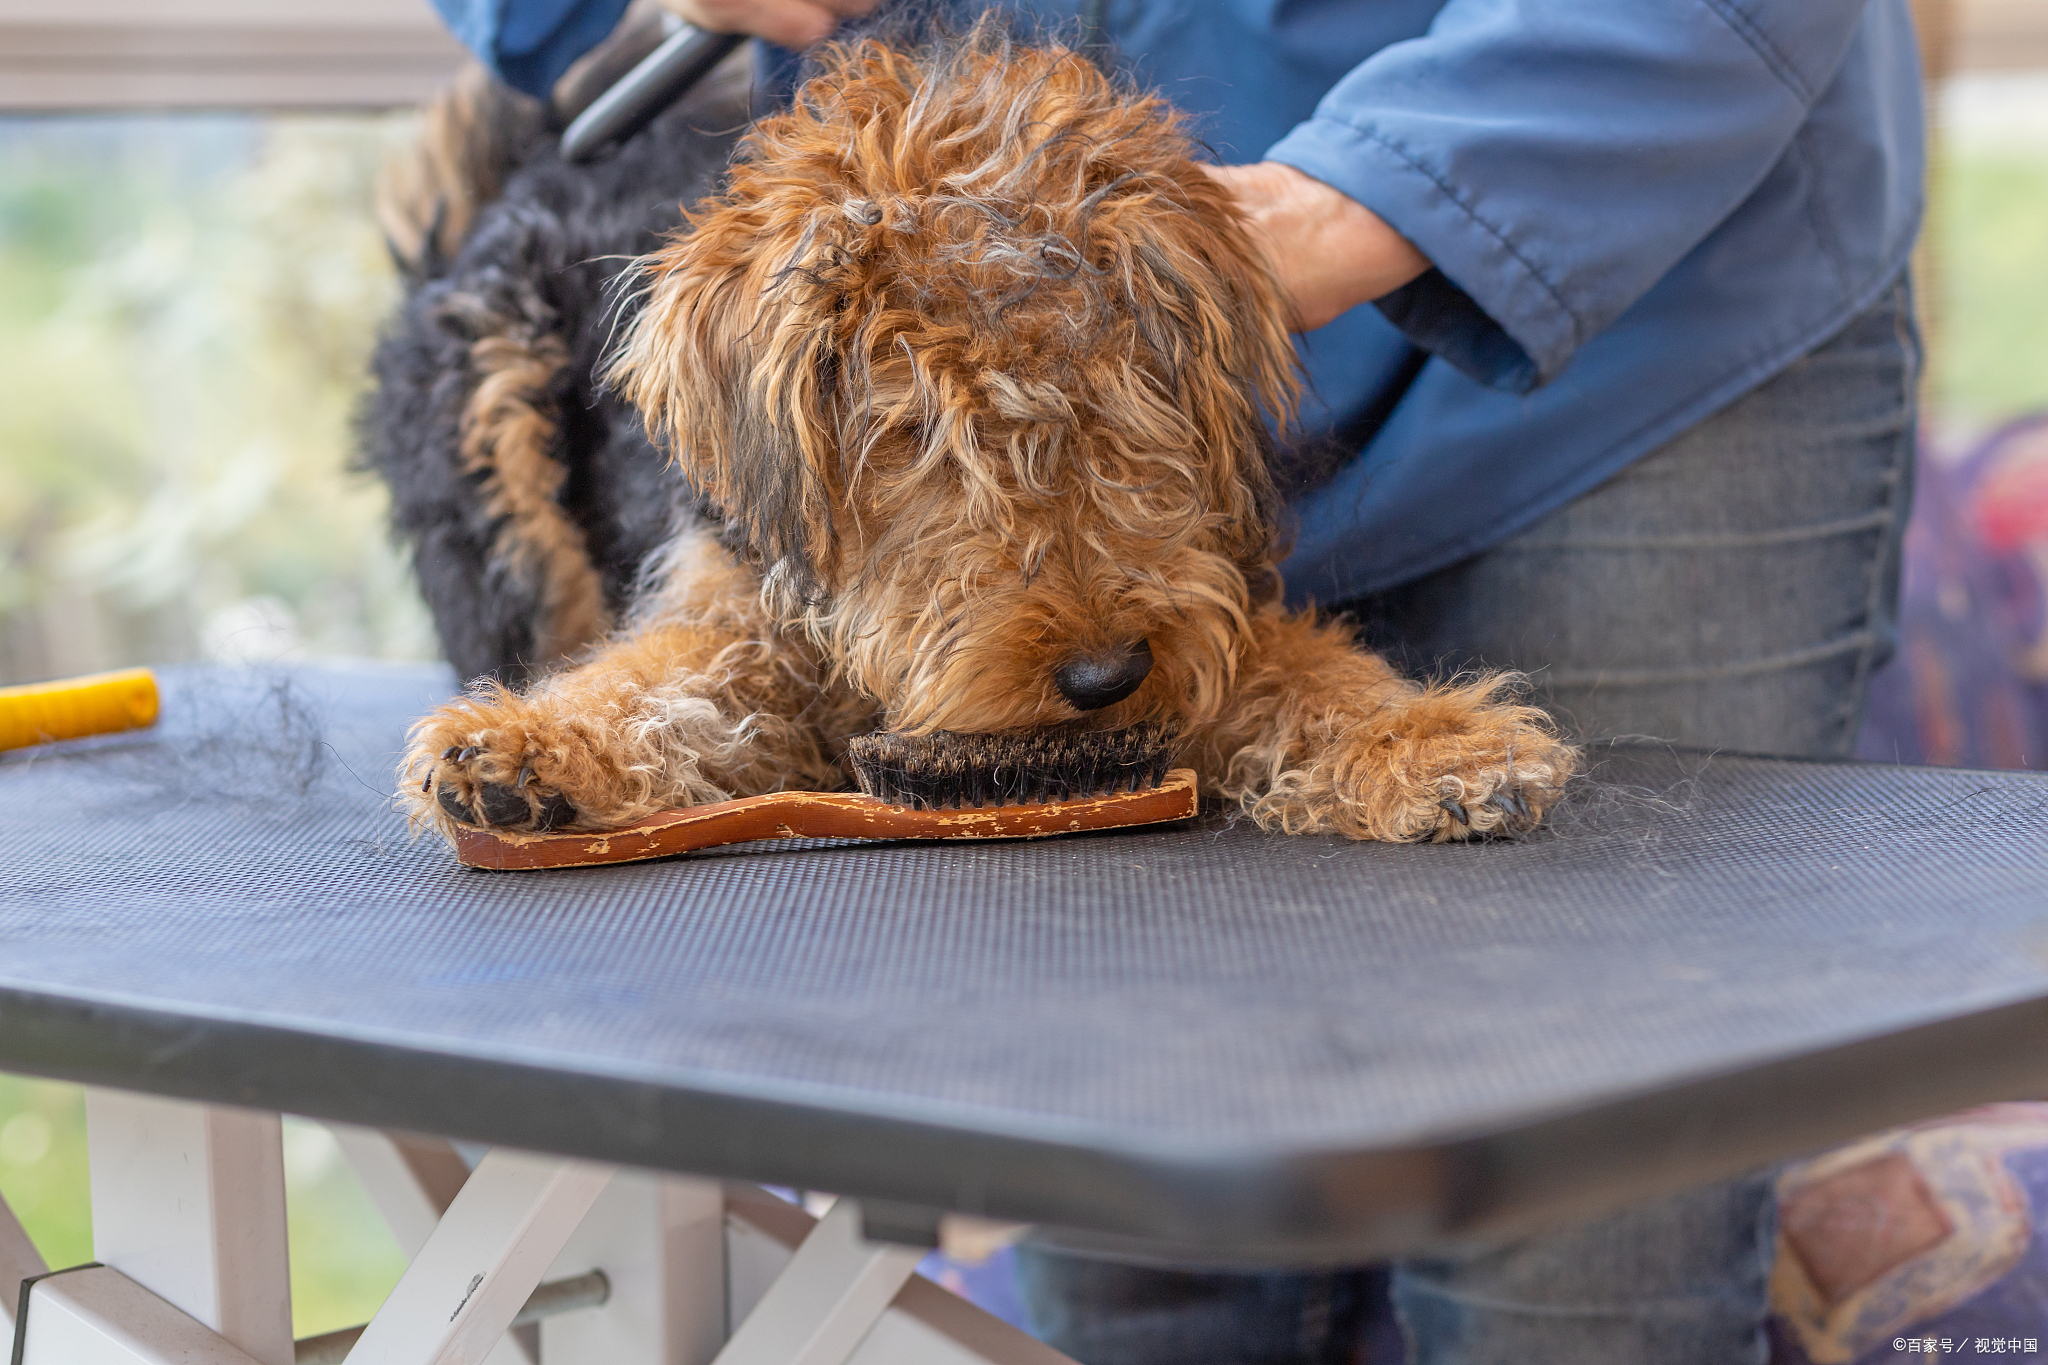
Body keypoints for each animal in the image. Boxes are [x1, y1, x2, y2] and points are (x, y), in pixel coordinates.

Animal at [360, 24, 1572, 843]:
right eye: (924, 441)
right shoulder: (737, 607)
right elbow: (660, 681)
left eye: (1133, 407)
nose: (1103, 675)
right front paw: (527, 749)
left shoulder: (1202, 623)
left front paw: (1437, 745)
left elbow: (1293, 671)